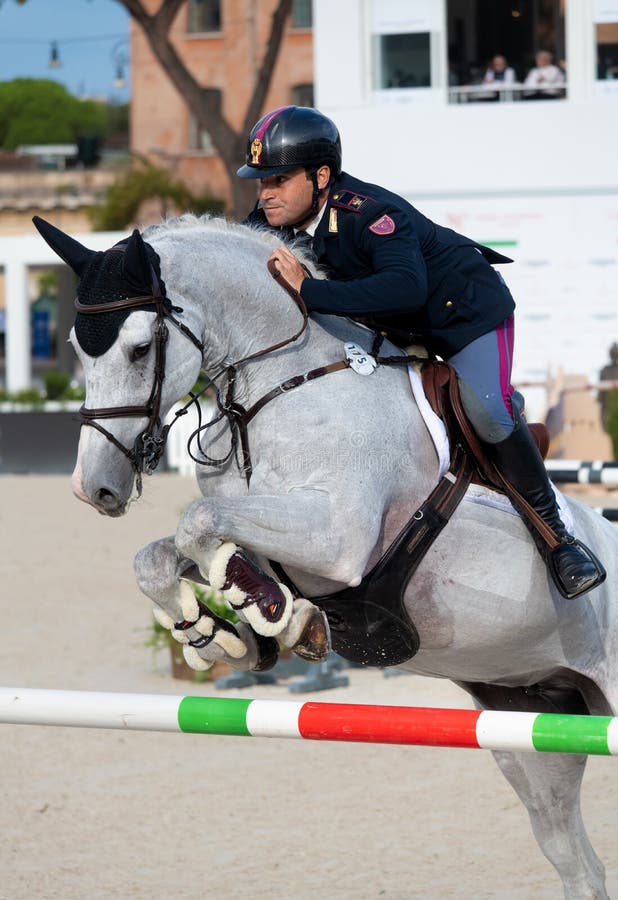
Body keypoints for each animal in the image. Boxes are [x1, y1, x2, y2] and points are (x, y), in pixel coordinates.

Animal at [33, 214, 616, 896]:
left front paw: (278, 617)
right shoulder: (269, 534)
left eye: (139, 349)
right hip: (531, 727)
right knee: (577, 863)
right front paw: (223, 634)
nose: (93, 488)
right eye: (78, 351)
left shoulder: (338, 539)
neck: (280, 389)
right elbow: (166, 554)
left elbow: (197, 524)